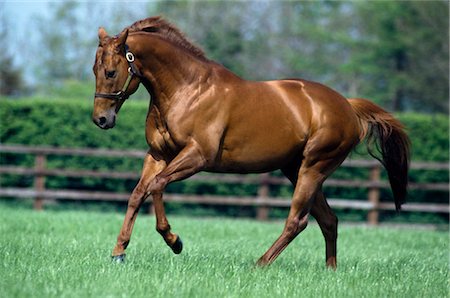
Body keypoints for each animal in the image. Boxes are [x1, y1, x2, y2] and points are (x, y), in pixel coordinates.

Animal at [93, 15, 410, 268]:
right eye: (95, 70)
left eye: (111, 72)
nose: (101, 120)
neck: (187, 89)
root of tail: (348, 107)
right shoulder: (158, 155)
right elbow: (138, 193)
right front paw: (119, 252)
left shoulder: (197, 156)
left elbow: (157, 186)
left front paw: (174, 241)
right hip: (296, 169)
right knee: (329, 220)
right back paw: (330, 270)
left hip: (313, 168)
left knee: (298, 221)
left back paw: (260, 264)